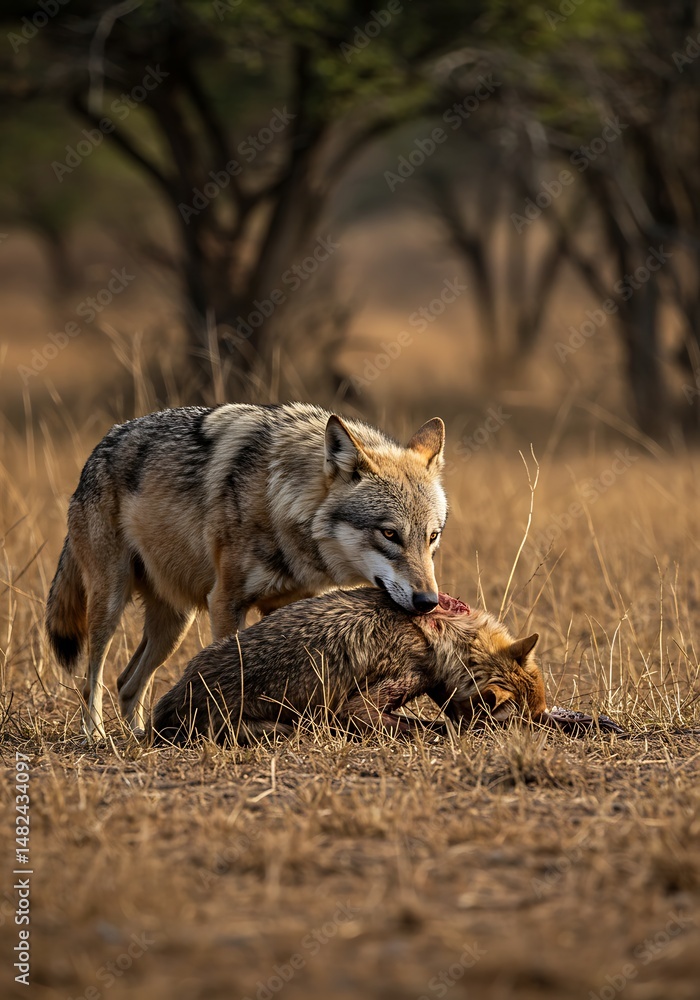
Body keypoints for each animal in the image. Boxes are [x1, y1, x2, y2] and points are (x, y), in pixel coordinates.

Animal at [45, 403, 447, 738]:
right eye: (390, 534)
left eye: (432, 536)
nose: (429, 601)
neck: (278, 499)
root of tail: (100, 446)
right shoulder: (225, 602)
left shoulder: (290, 608)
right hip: (111, 604)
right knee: (93, 679)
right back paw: (96, 735)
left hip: (174, 625)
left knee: (127, 683)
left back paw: (140, 736)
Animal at [151, 588, 547, 744]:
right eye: (523, 721)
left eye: (539, 711)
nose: (546, 720)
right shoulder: (358, 708)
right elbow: (426, 728)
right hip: (281, 727)